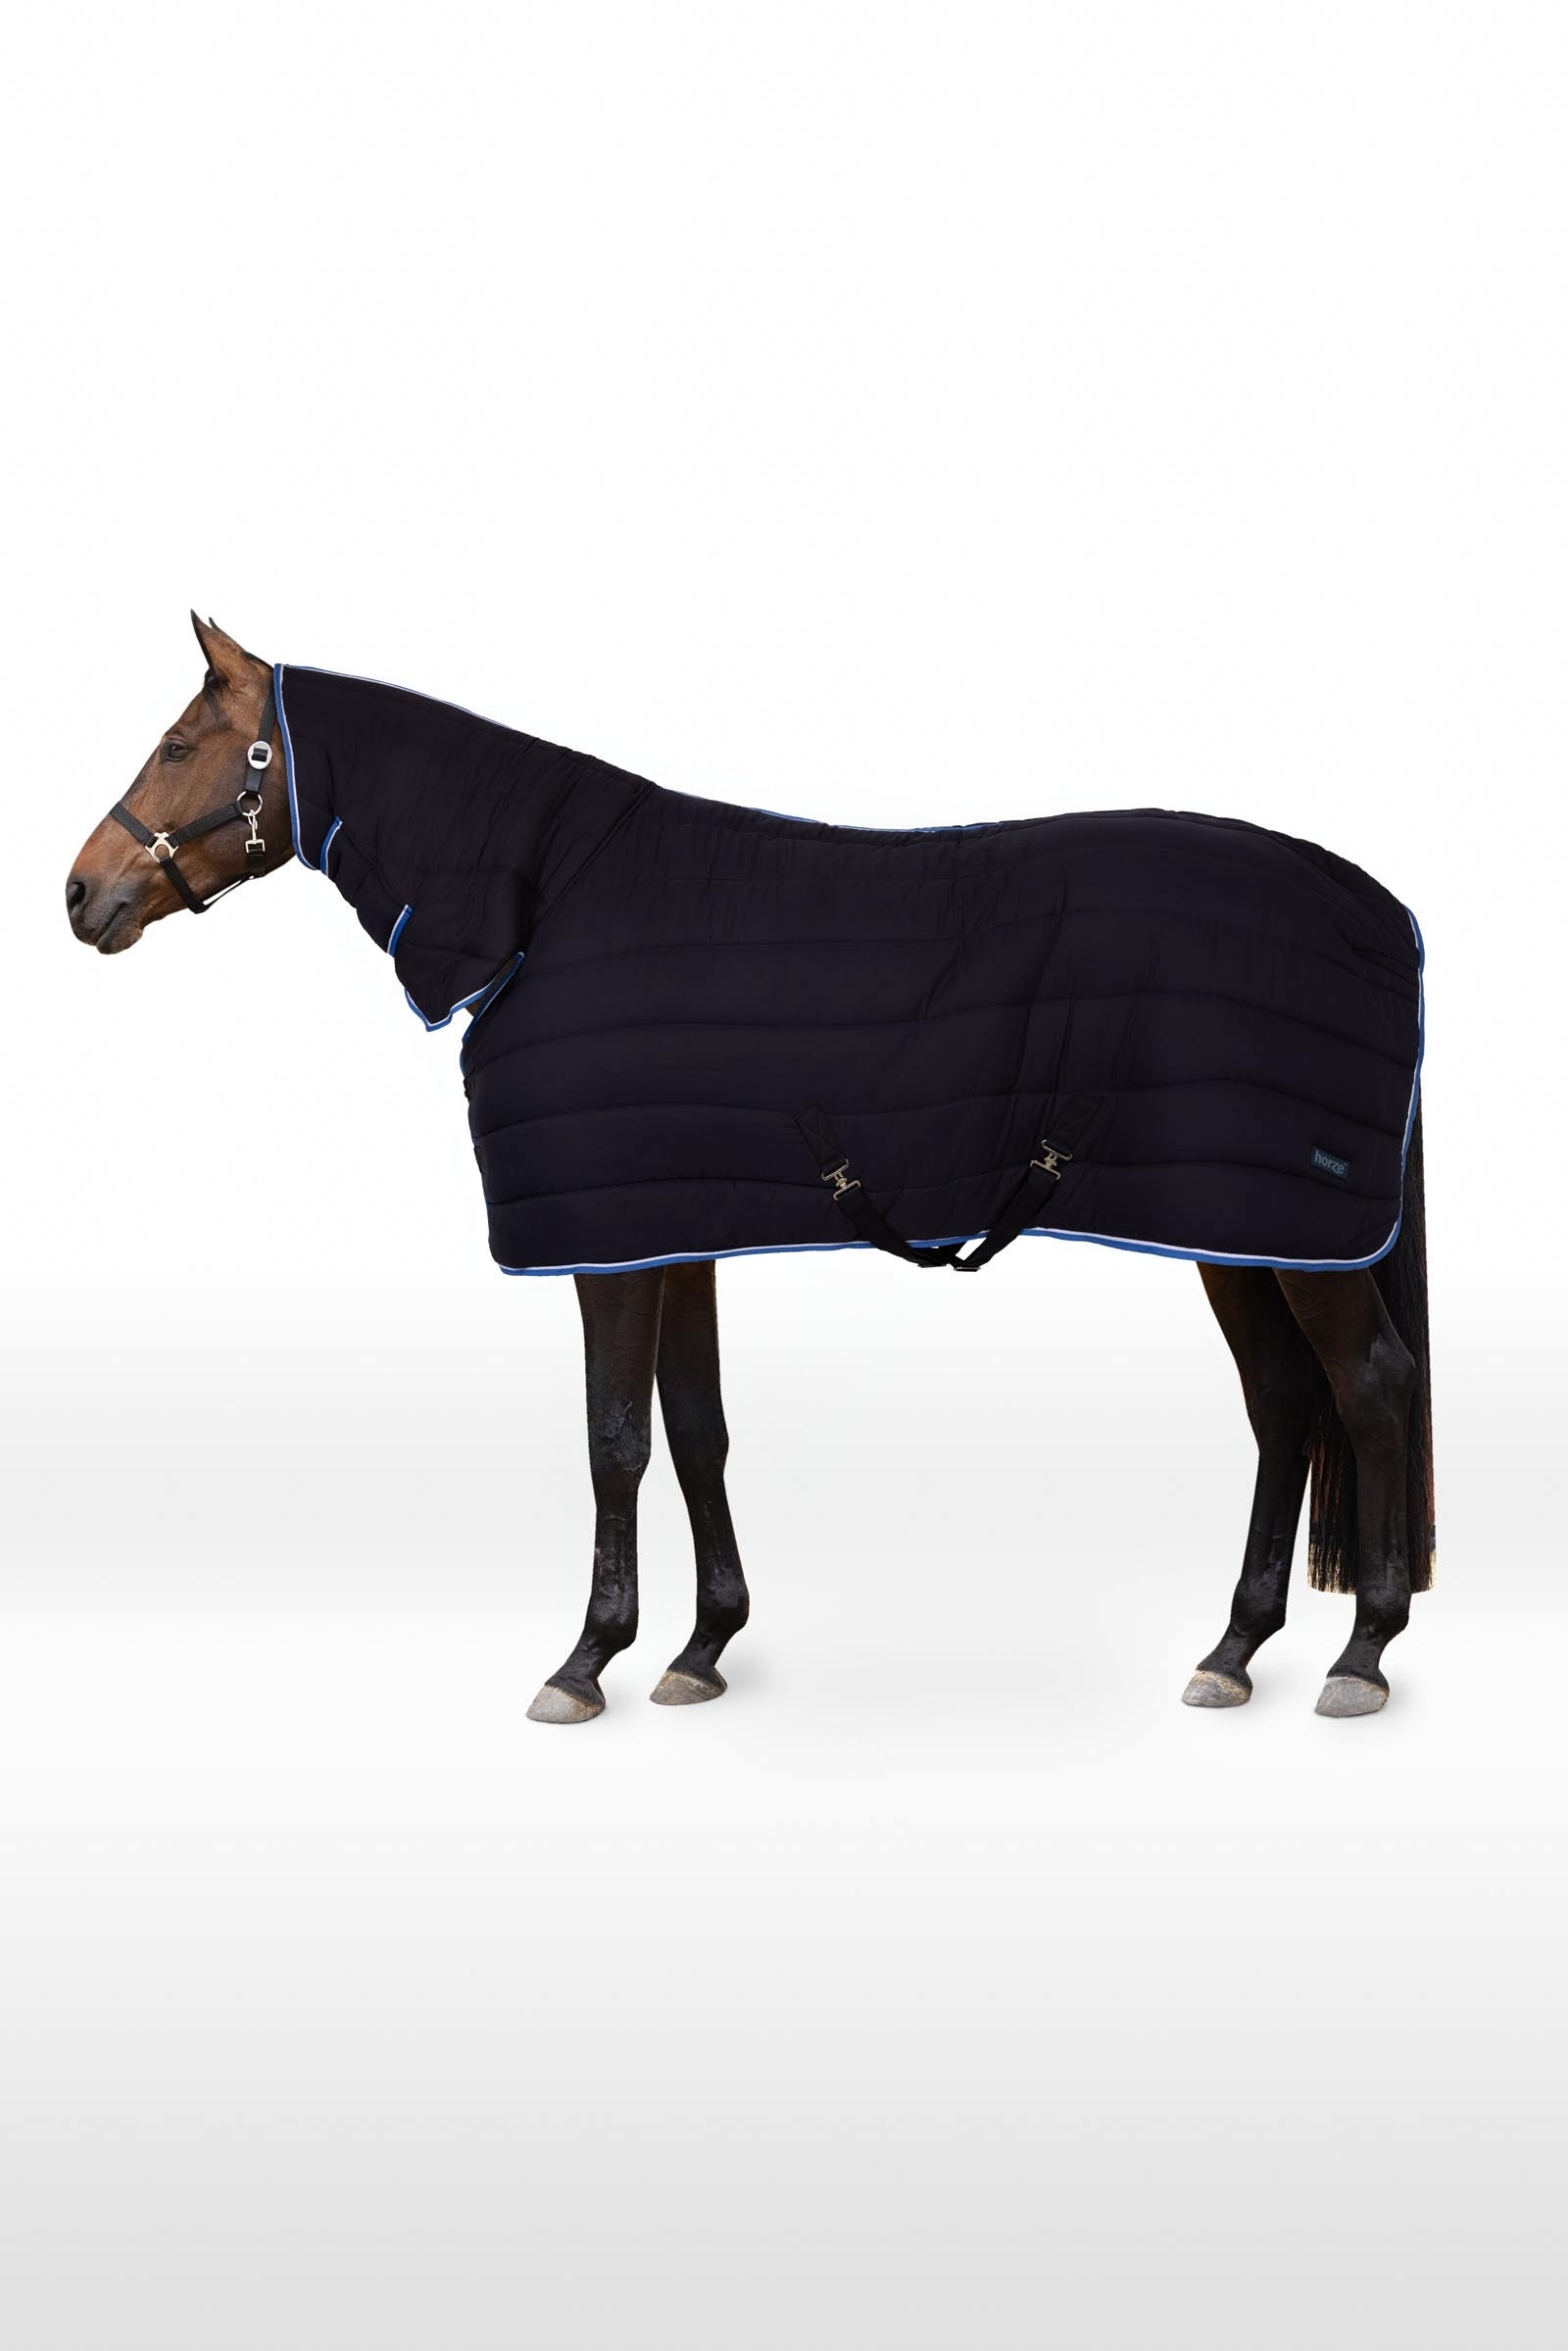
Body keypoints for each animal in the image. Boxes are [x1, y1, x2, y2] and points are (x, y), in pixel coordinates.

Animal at [65, 615, 1434, 1722]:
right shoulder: (672, 1231)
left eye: (182, 746)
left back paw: (1361, 1653)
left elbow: (614, 1438)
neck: (545, 904)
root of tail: (1365, 897)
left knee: (1368, 1387)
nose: (81, 894)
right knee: (1283, 1401)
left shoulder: (607, 1248)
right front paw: (700, 1647)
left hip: (1287, 1234)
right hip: (1234, 1227)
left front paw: (586, 1661)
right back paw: (1234, 1648)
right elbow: (697, 1429)